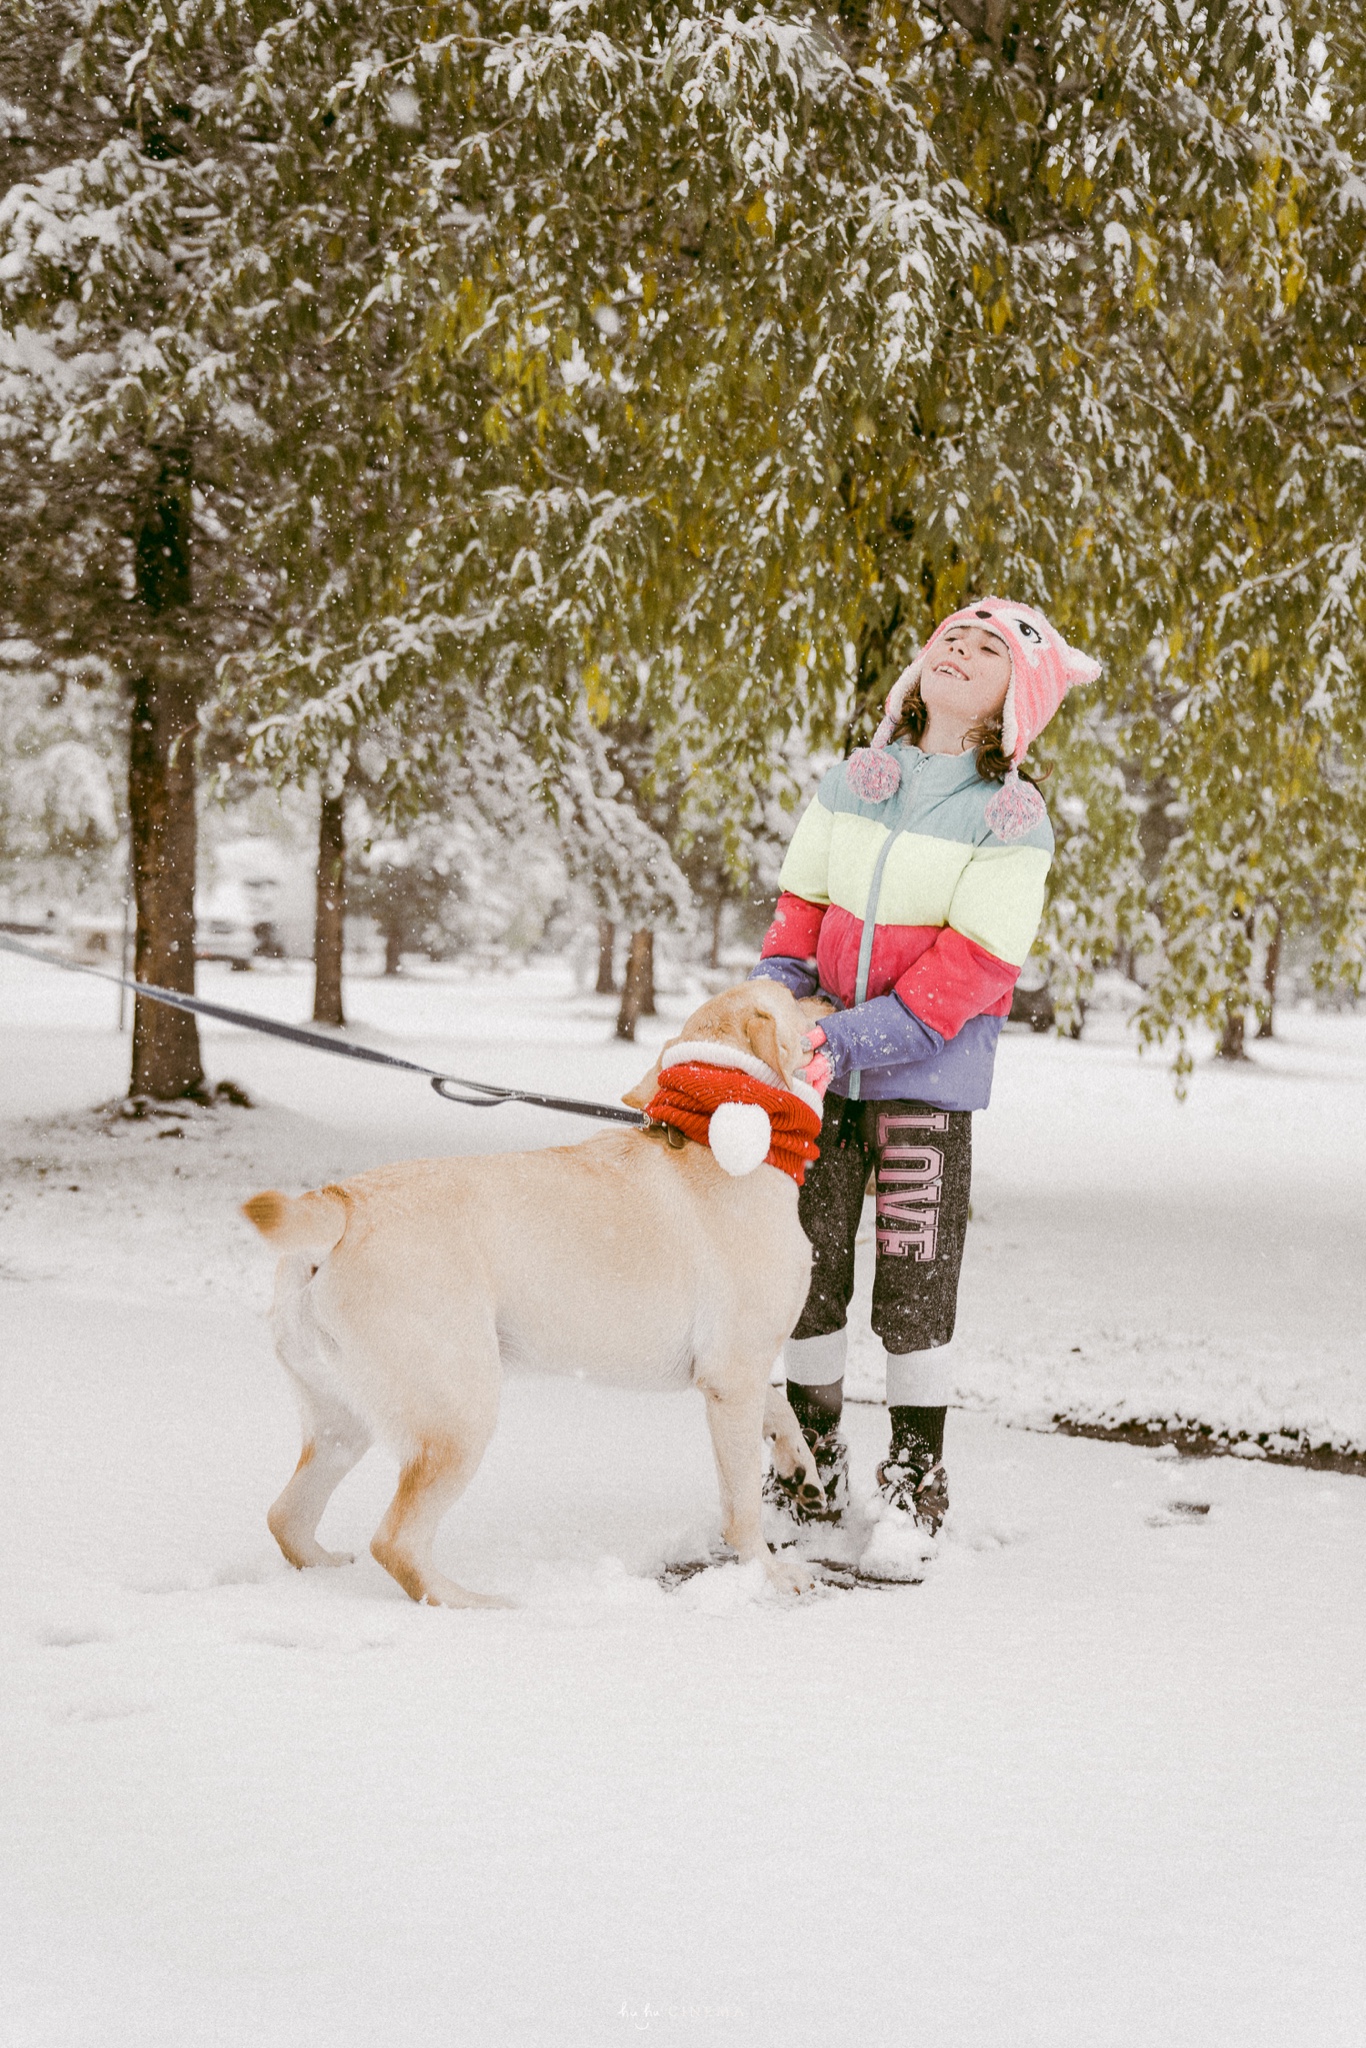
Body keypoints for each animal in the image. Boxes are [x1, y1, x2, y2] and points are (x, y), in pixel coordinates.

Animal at [241, 974, 827, 1597]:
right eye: (791, 994)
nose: (827, 995)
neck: (723, 1135)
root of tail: (341, 1203)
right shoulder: (732, 1377)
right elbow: (741, 1505)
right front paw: (768, 1573)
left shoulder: (736, 1371)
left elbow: (780, 1407)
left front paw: (801, 1470)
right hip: (460, 1414)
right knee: (396, 1542)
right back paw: (475, 1603)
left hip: (341, 1421)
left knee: (286, 1516)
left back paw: (328, 1572)